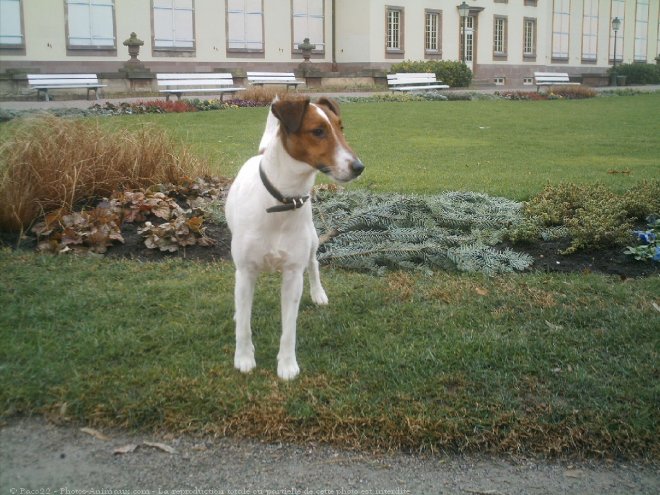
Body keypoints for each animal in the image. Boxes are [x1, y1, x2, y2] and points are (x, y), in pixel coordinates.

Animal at [224, 95, 364, 380]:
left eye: (341, 128)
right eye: (318, 131)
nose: (359, 167)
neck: (281, 201)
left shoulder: (292, 275)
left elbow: (289, 329)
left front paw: (287, 365)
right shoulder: (245, 272)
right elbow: (244, 324)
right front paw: (243, 358)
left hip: (311, 239)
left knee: (314, 263)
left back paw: (319, 293)